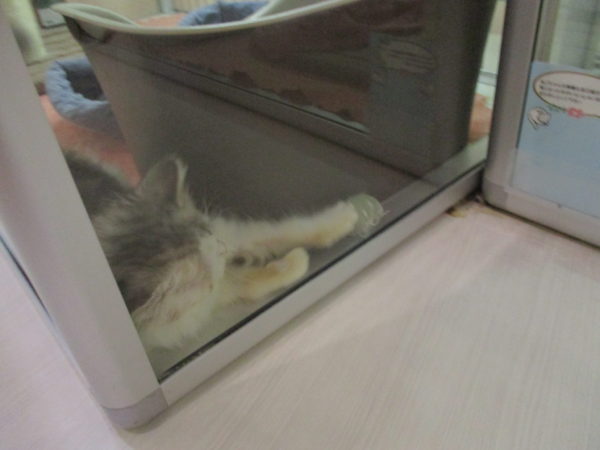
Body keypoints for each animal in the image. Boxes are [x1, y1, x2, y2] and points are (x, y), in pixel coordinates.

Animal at [65, 152, 374, 352]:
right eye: (205, 278)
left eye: (212, 237)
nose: (224, 251)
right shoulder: (206, 297)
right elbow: (247, 282)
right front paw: (293, 263)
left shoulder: (227, 230)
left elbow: (284, 231)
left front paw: (344, 219)